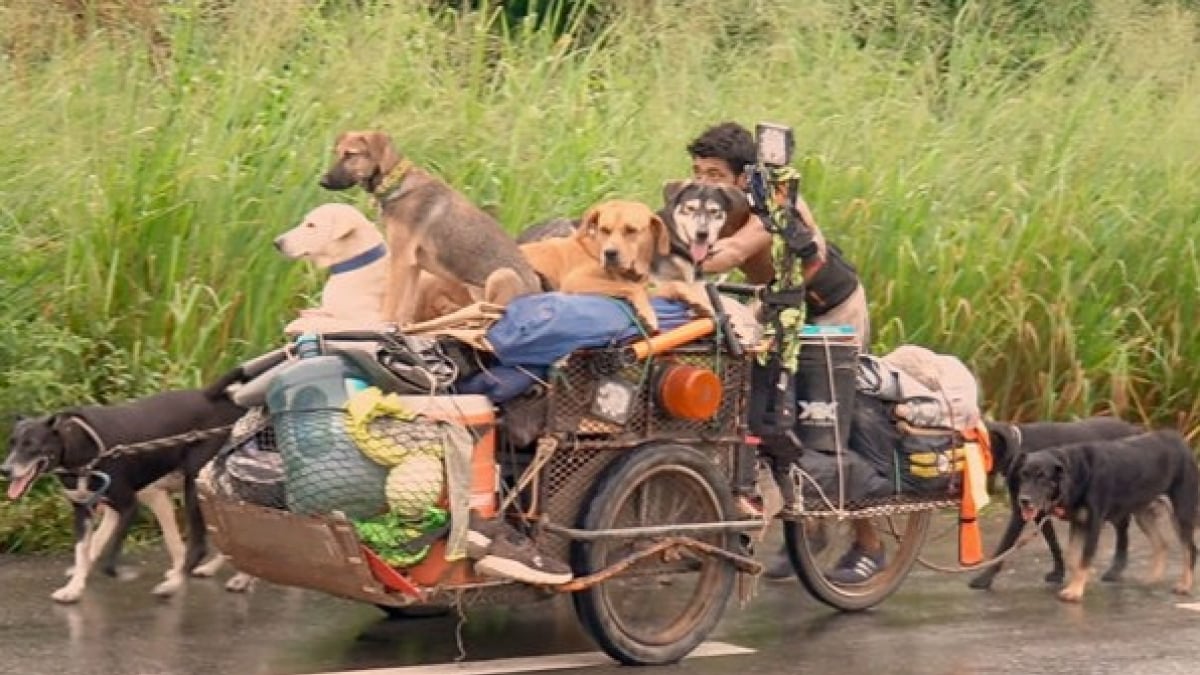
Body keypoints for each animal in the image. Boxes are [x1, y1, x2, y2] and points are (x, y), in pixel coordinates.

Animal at [321, 129, 542, 326]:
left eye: (351, 155)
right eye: (338, 153)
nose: (322, 181)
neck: (395, 184)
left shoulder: (400, 259)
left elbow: (390, 304)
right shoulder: (412, 265)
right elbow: (406, 308)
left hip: (502, 275)